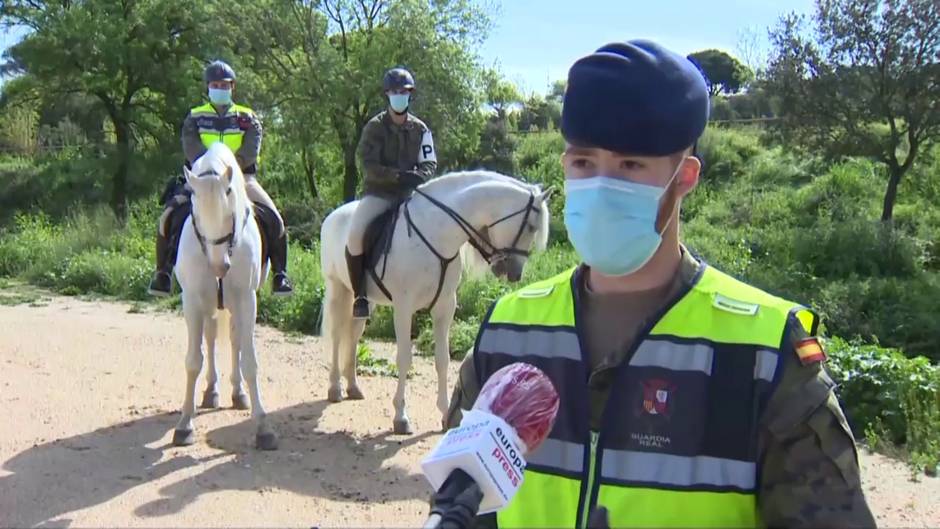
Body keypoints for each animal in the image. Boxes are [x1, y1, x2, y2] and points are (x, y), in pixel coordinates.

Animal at [172, 141, 278, 450]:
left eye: (230, 206)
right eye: (195, 210)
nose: (219, 266)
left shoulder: (246, 300)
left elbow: (250, 361)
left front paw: (263, 427)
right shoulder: (192, 301)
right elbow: (193, 361)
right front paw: (184, 424)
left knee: (233, 340)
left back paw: (237, 393)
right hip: (208, 305)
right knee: (210, 338)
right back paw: (211, 392)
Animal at [320, 169, 556, 434]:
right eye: (531, 227)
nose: (515, 273)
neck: (435, 234)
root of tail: (334, 215)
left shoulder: (445, 307)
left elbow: (442, 359)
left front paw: (445, 415)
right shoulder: (403, 308)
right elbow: (404, 359)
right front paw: (401, 417)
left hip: (363, 300)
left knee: (353, 334)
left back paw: (353, 387)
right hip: (337, 288)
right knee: (337, 335)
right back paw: (335, 388)